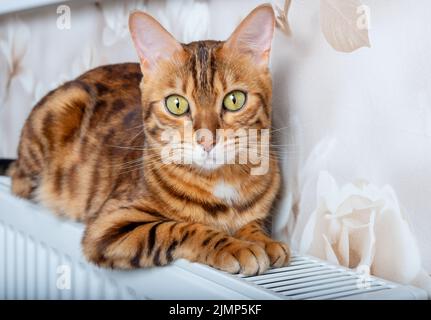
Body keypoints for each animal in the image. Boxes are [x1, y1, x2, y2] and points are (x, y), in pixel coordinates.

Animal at [6, 3, 290, 276]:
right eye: (177, 104)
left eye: (234, 100)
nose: (207, 140)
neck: (222, 183)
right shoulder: (109, 226)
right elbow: (181, 227)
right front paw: (234, 245)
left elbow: (252, 223)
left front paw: (263, 240)